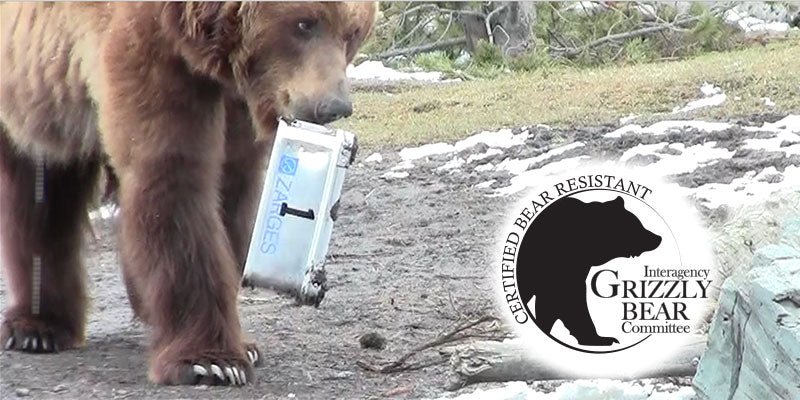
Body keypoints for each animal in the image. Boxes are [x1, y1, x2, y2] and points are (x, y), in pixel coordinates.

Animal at [0, 2, 377, 386]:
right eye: (304, 24)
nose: (334, 106)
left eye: (352, 32)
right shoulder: (152, 54)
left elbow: (231, 194)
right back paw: (37, 327)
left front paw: (244, 346)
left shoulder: (235, 104)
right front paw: (211, 362)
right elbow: (173, 183)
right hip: (31, 80)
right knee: (38, 193)